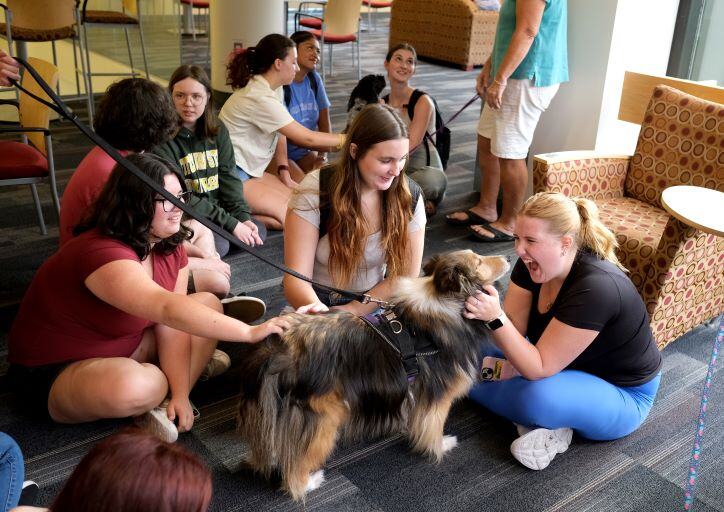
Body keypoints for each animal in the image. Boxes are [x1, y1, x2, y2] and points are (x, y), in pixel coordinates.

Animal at [238, 251, 510, 500]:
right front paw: (442, 445)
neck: (443, 300)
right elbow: (433, 425)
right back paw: (309, 482)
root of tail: (280, 347)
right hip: (322, 418)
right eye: (479, 262)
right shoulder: (438, 395)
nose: (508, 257)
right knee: (297, 464)